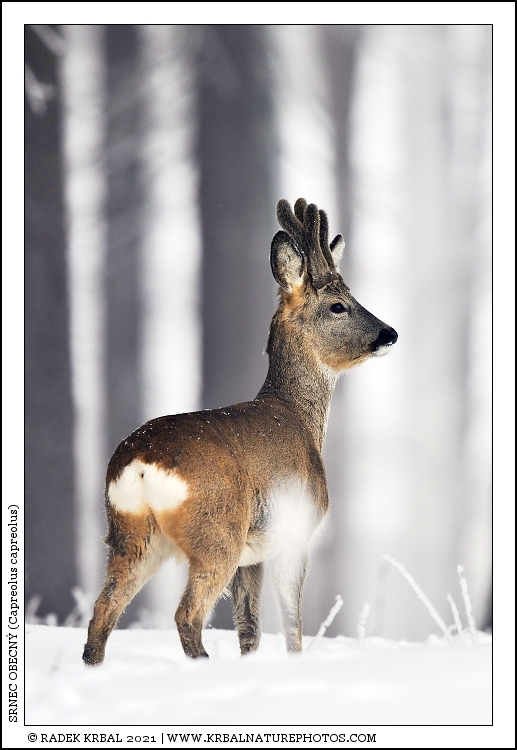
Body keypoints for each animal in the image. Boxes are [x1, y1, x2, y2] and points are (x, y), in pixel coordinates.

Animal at [82, 198, 397, 666]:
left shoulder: (253, 554)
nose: (389, 333)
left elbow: (249, 629)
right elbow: (291, 622)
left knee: (103, 610)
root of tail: (140, 462)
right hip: (217, 531)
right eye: (339, 304)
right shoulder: (295, 529)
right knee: (186, 613)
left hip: (132, 535)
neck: (298, 416)